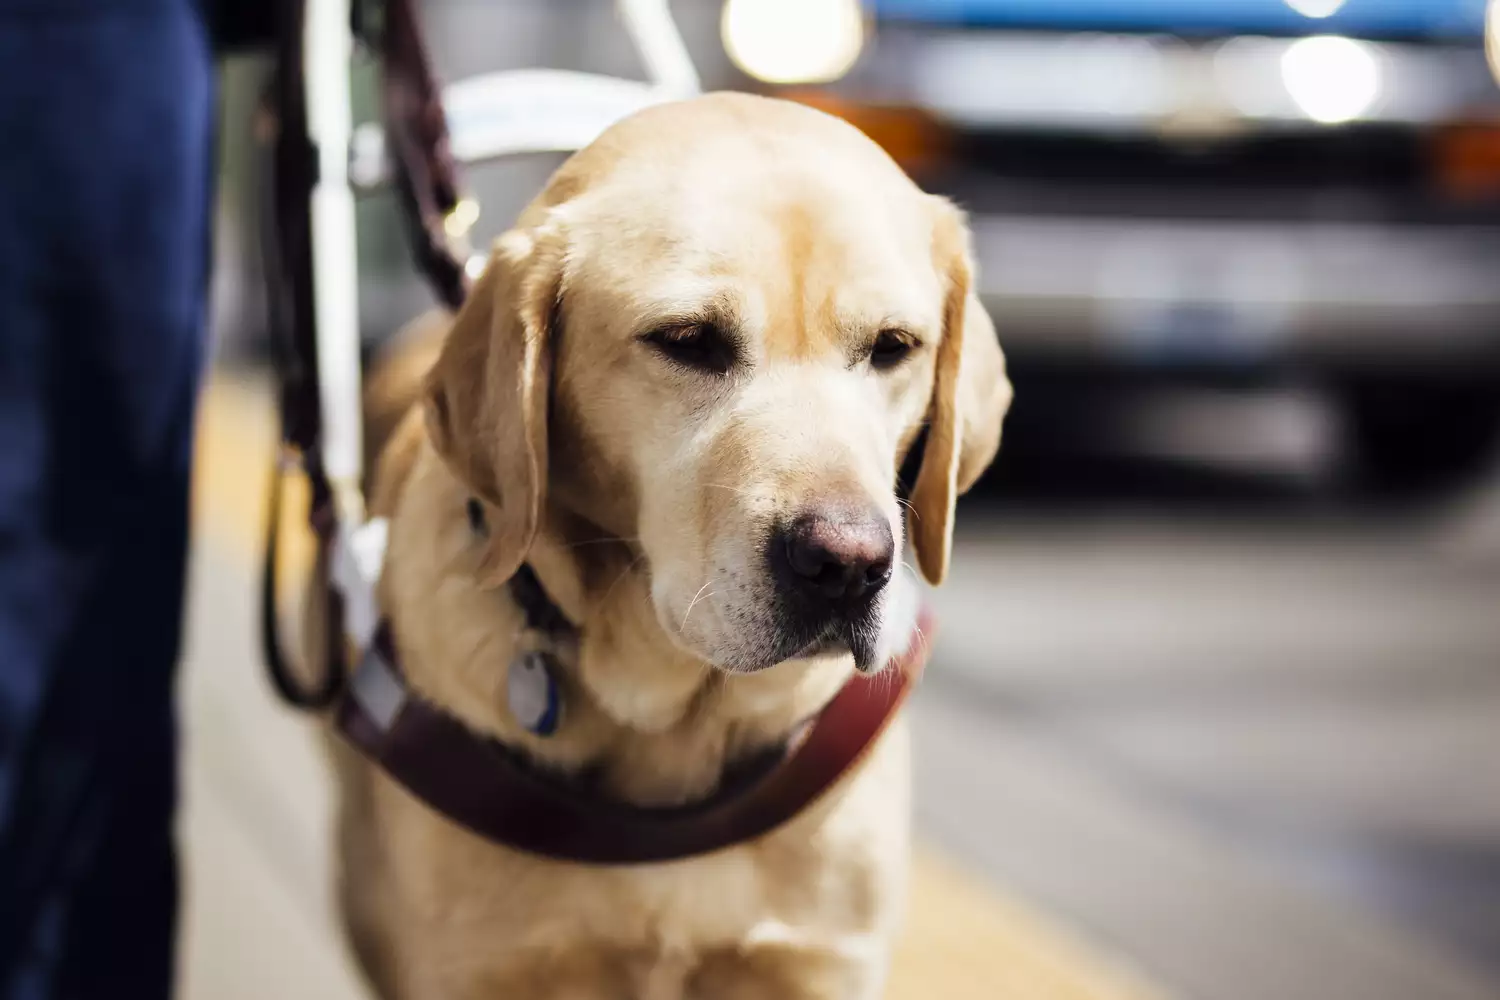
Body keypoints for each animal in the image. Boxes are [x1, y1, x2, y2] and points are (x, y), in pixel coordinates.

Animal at [327, 89, 1008, 995]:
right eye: (687, 341)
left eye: (895, 347)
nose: (849, 565)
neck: (675, 723)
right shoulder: (475, 967)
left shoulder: (823, 959)